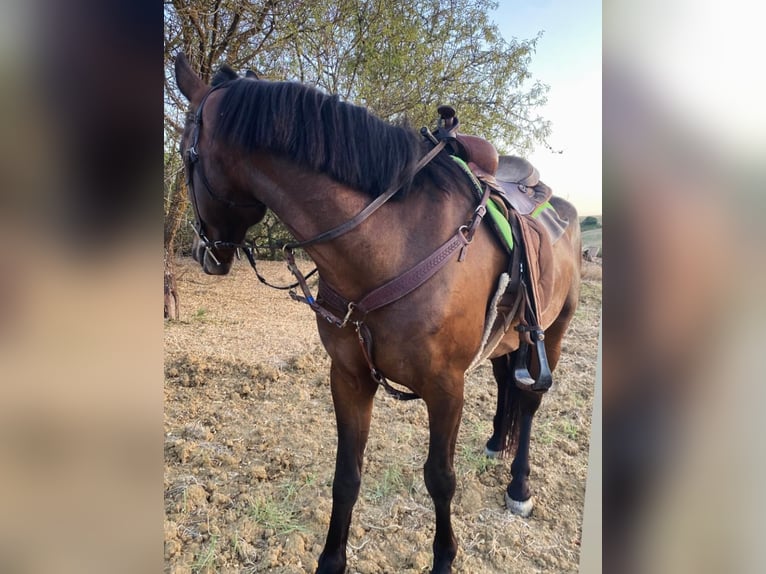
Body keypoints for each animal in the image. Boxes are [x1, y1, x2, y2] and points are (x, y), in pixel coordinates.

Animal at [174, 53, 581, 574]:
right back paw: (494, 444)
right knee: (505, 383)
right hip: (504, 341)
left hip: (552, 332)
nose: (203, 251)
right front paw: (331, 560)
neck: (394, 242)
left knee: (528, 404)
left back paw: (520, 485)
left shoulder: (446, 388)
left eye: (186, 156)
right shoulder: (348, 376)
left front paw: (444, 558)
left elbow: (440, 479)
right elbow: (346, 475)